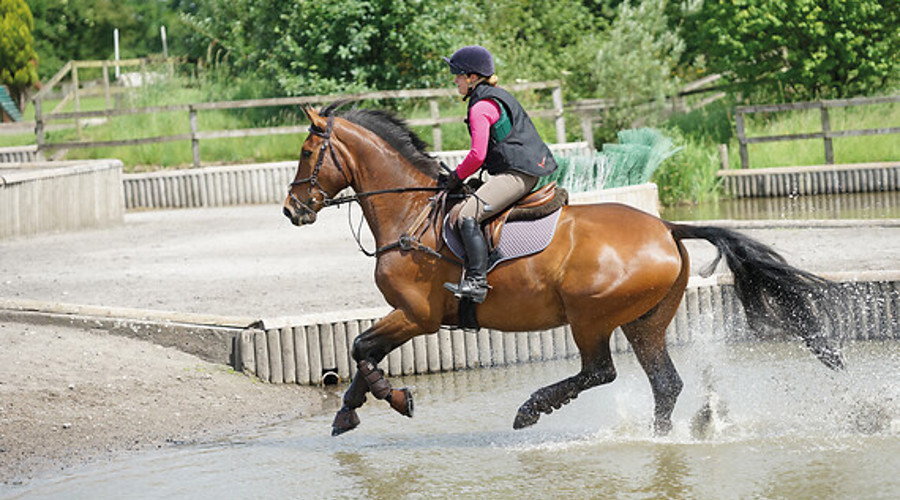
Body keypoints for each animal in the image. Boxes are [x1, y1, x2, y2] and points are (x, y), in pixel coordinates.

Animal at [283, 104, 844, 437]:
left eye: (308, 152)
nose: (292, 210)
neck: (410, 211)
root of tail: (667, 228)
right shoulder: (409, 316)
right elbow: (361, 352)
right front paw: (348, 410)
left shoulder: (416, 315)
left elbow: (362, 349)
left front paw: (393, 399)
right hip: (646, 321)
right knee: (664, 383)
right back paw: (660, 437)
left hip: (590, 316)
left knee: (600, 371)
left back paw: (532, 409)